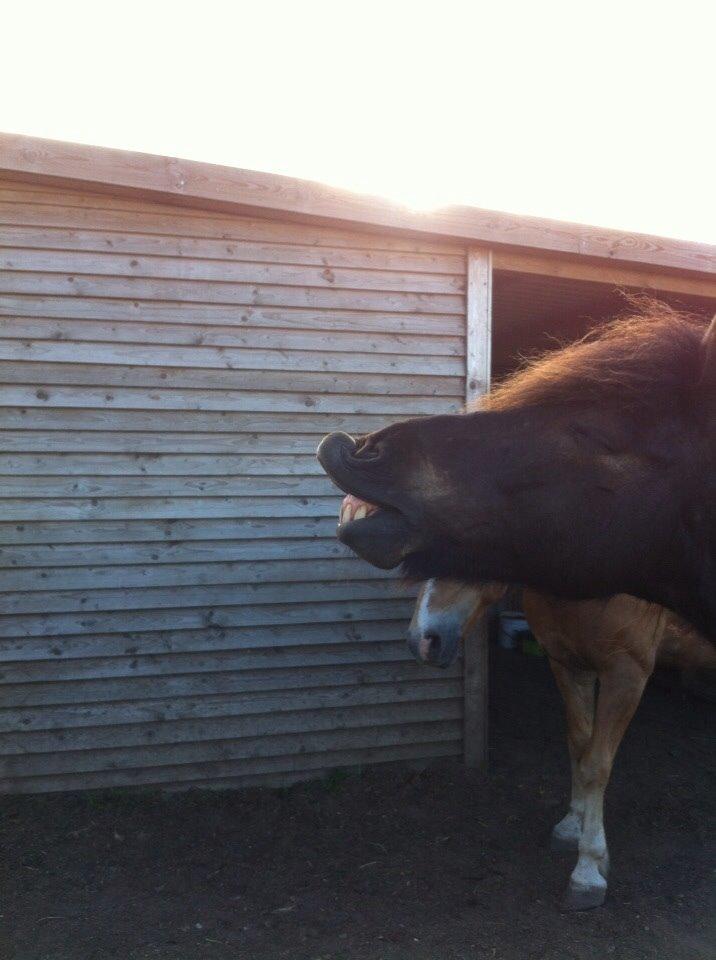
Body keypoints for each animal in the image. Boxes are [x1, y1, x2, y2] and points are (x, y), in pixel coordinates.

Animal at [406, 576, 712, 908]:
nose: (422, 641)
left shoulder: (626, 673)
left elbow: (596, 764)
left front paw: (587, 871)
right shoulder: (568, 663)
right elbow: (580, 744)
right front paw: (572, 827)